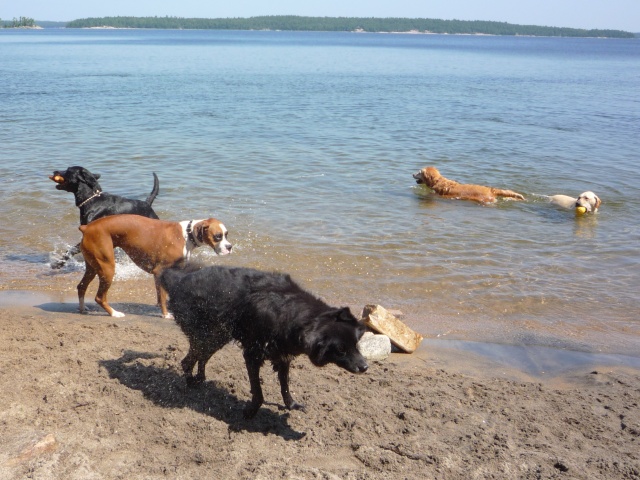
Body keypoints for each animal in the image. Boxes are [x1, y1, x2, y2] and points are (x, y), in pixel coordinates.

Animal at [160, 264, 370, 418]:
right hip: (206, 336)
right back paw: (190, 385)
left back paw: (200, 380)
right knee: (187, 361)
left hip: (217, 337)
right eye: (340, 350)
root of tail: (176, 281)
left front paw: (291, 405)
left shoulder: (283, 356)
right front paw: (250, 413)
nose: (365, 367)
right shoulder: (252, 356)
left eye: (356, 344)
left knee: (199, 359)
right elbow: (258, 393)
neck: (293, 314)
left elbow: (285, 386)